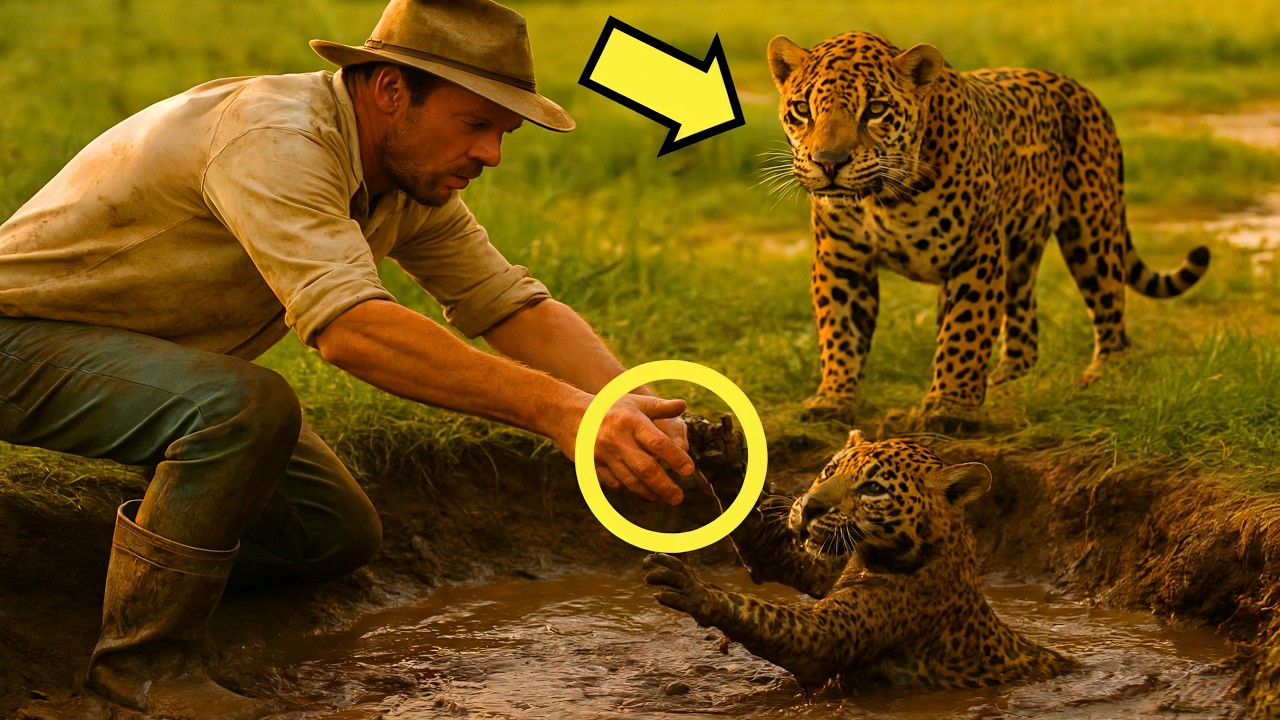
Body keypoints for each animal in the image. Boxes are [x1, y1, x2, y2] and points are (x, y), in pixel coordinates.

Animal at [645, 425, 1079, 689]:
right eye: (830, 469)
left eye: (873, 488)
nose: (811, 506)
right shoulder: (821, 565)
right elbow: (771, 549)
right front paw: (721, 454)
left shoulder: (826, 635)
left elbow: (765, 614)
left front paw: (692, 587)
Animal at [765, 31, 1211, 428]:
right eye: (802, 109)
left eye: (874, 109)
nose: (829, 161)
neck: (886, 198)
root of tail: (1079, 87)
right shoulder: (841, 258)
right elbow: (840, 330)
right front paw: (833, 399)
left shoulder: (975, 252)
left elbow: (965, 329)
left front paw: (950, 408)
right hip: (1020, 249)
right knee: (1024, 324)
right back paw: (1006, 383)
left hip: (1091, 228)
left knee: (1110, 308)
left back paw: (1103, 375)